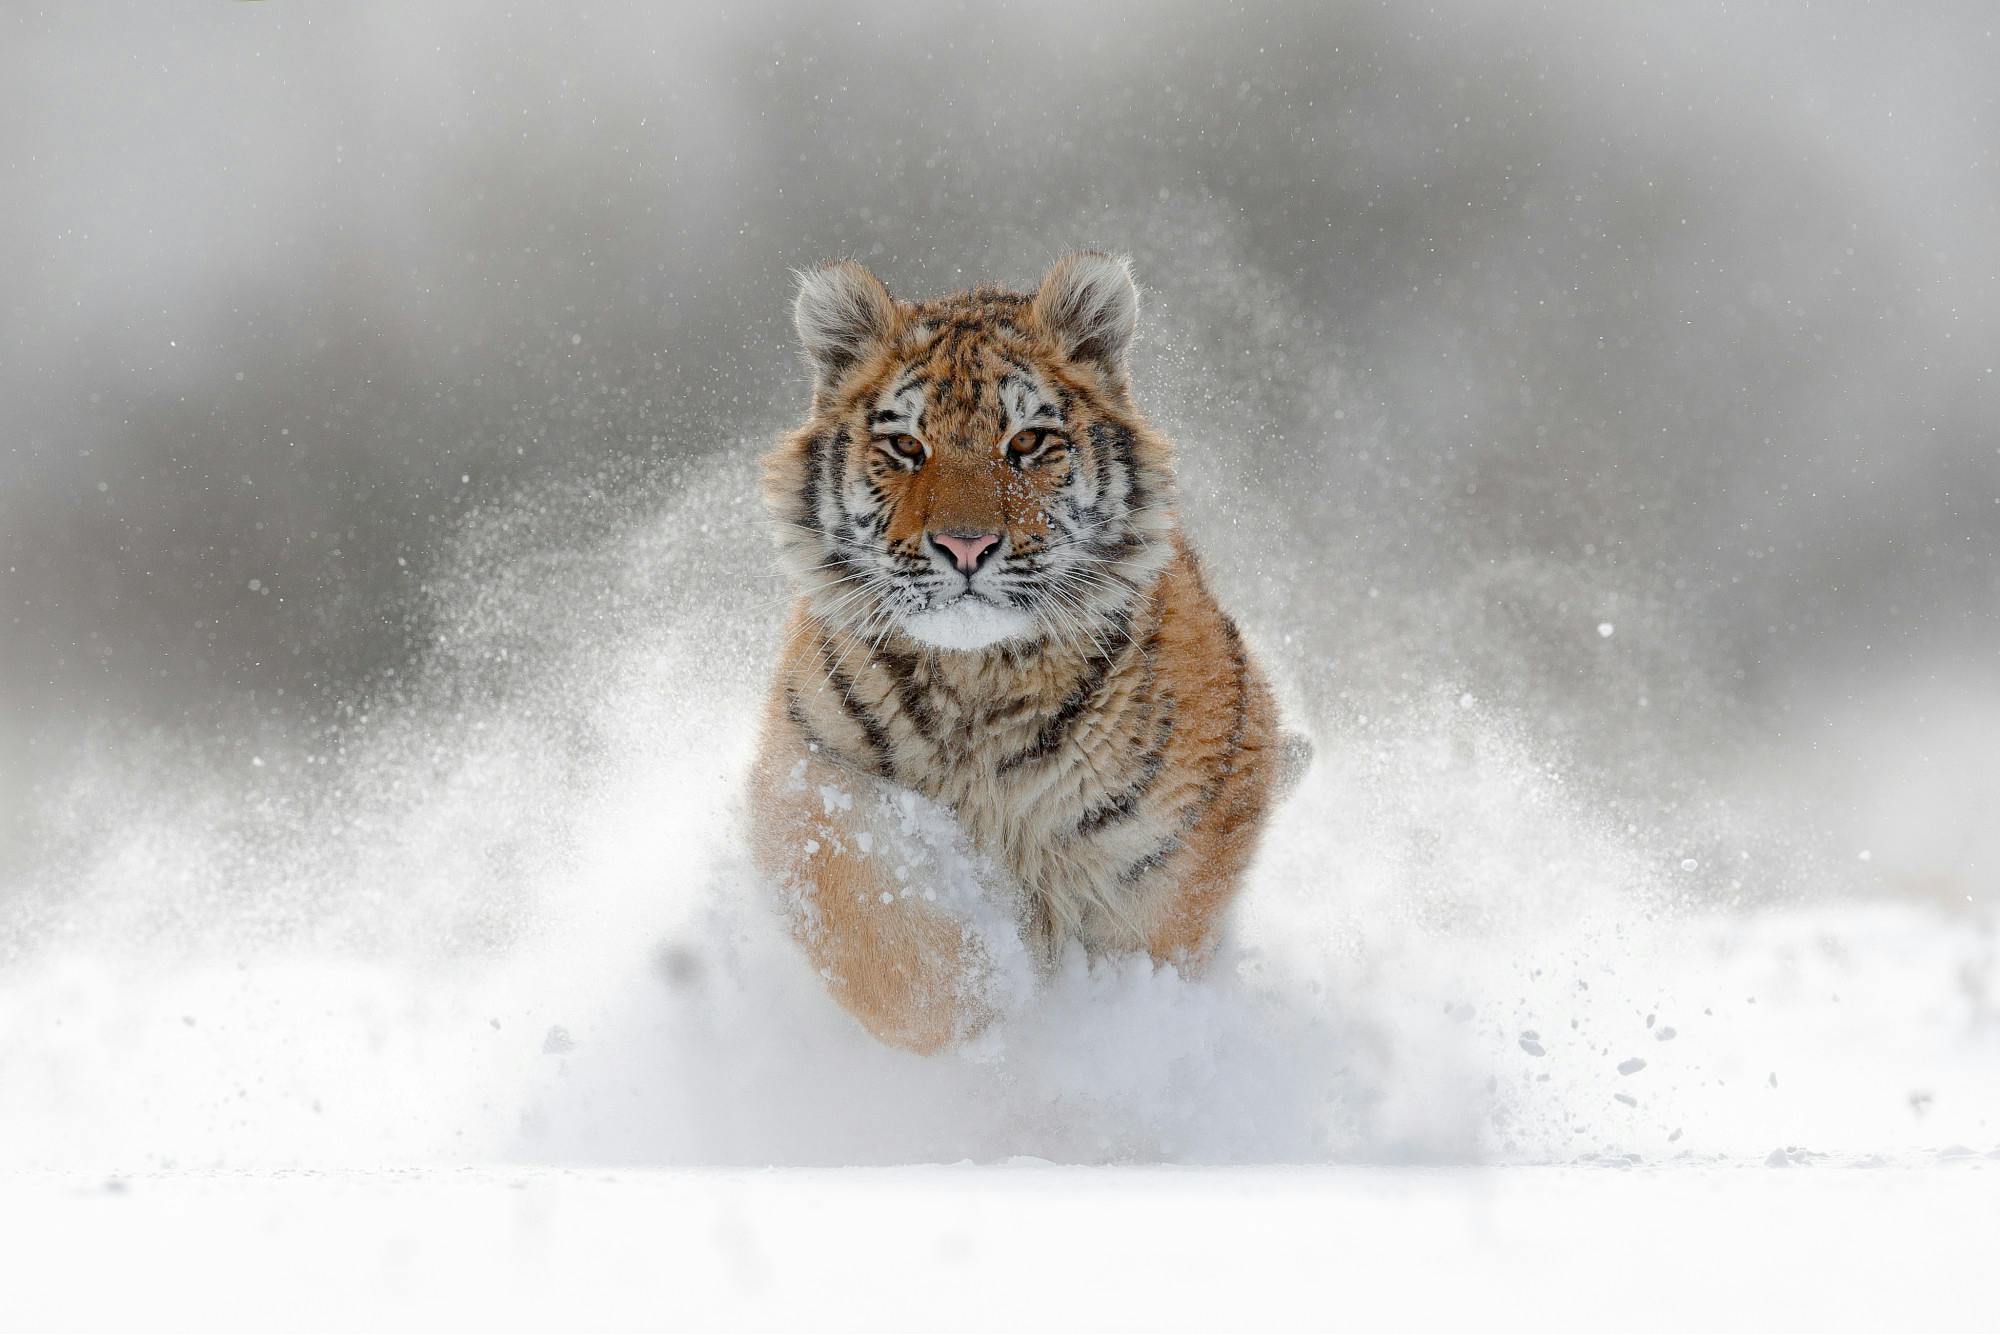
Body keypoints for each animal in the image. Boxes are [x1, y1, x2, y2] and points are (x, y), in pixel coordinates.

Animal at [748, 252, 1304, 1053]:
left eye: (1027, 443)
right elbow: (878, 930)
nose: (965, 545)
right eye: (906, 446)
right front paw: (985, 1007)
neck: (978, 680)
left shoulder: (1175, 847)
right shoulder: (806, 775)